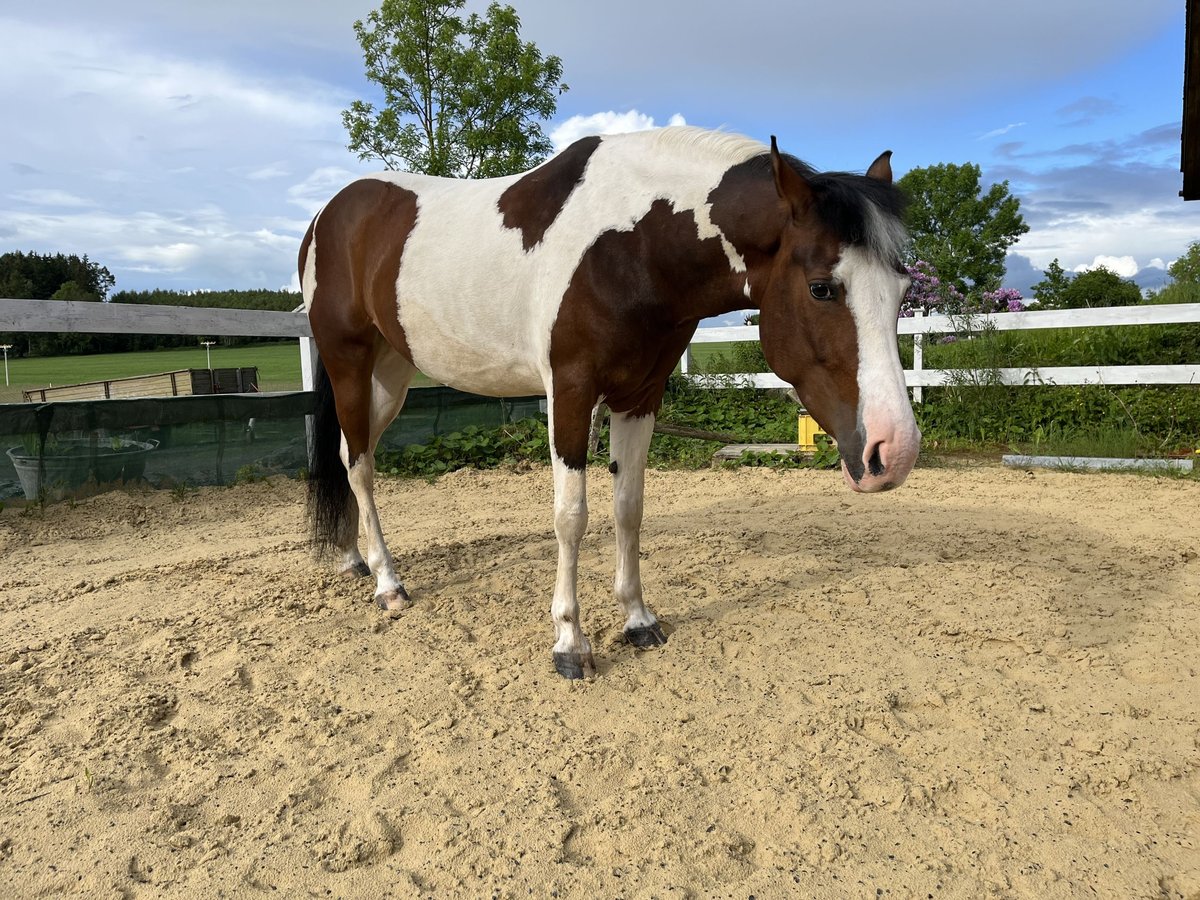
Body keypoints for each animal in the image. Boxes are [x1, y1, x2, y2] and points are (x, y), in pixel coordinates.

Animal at [300, 125, 916, 676]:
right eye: (821, 287)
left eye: (904, 289)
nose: (895, 452)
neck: (632, 244)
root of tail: (327, 216)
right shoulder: (571, 393)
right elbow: (571, 516)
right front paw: (570, 643)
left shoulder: (640, 396)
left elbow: (628, 507)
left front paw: (638, 619)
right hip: (351, 362)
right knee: (360, 465)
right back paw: (388, 582)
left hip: (392, 373)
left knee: (349, 455)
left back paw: (353, 558)